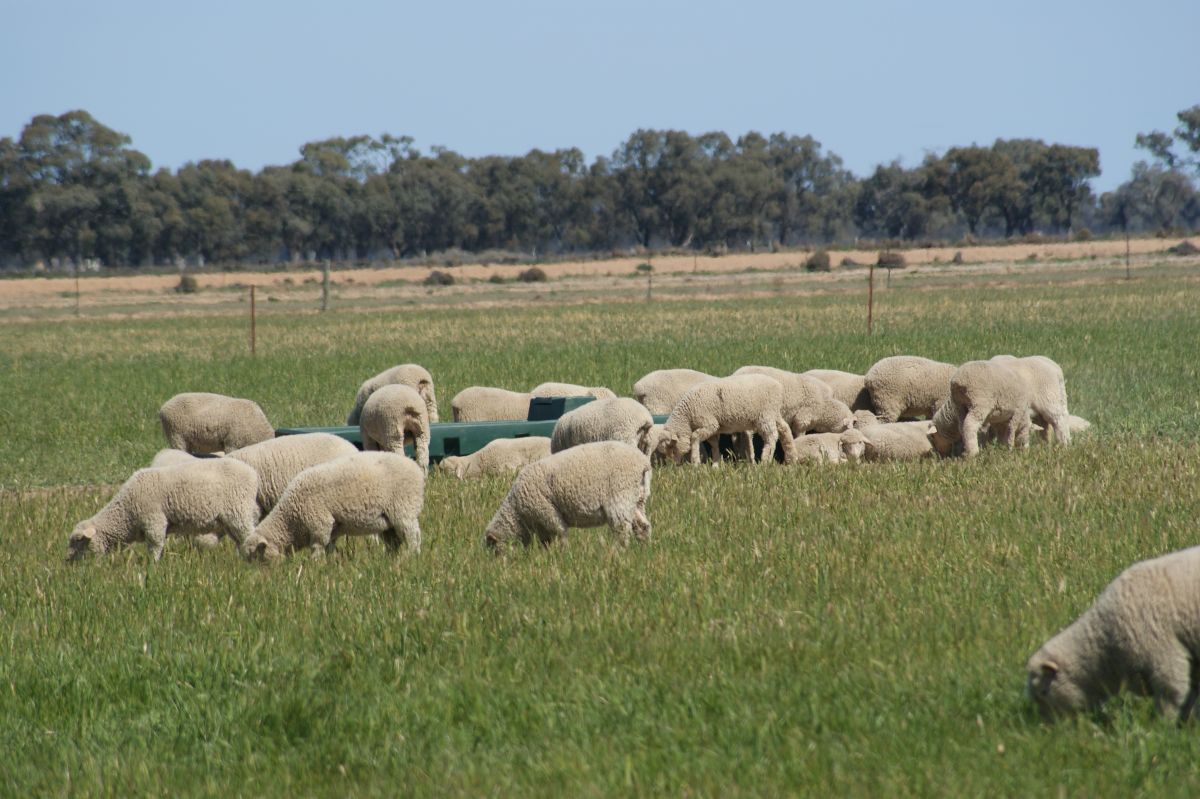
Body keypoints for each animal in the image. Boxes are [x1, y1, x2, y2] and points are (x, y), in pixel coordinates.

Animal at [66, 458, 259, 561]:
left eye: (78, 540)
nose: (67, 561)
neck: (126, 512)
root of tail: (252, 473)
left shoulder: (153, 520)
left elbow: (155, 545)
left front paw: (153, 566)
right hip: (231, 519)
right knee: (239, 540)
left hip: (238, 511)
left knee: (249, 535)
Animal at [241, 452, 424, 561]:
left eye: (257, 557)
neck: (290, 520)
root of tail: (415, 467)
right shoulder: (332, 527)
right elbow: (330, 546)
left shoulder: (319, 523)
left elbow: (318, 547)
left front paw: (316, 566)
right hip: (388, 521)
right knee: (394, 541)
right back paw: (390, 559)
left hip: (403, 508)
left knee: (413, 536)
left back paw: (409, 557)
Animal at [483, 441, 651, 552]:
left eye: (494, 550)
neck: (517, 512)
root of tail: (643, 463)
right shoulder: (542, 525)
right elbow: (546, 541)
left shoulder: (548, 514)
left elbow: (561, 534)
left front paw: (564, 554)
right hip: (637, 499)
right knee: (642, 526)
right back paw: (644, 549)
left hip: (620, 496)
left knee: (622, 529)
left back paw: (618, 552)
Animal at [656, 374, 797, 465]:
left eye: (671, 446)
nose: (673, 466)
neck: (687, 415)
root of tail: (778, 385)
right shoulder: (713, 428)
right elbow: (713, 444)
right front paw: (716, 464)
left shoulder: (710, 423)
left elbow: (695, 437)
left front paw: (695, 462)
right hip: (774, 413)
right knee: (785, 429)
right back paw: (791, 456)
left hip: (765, 415)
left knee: (771, 436)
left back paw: (765, 460)